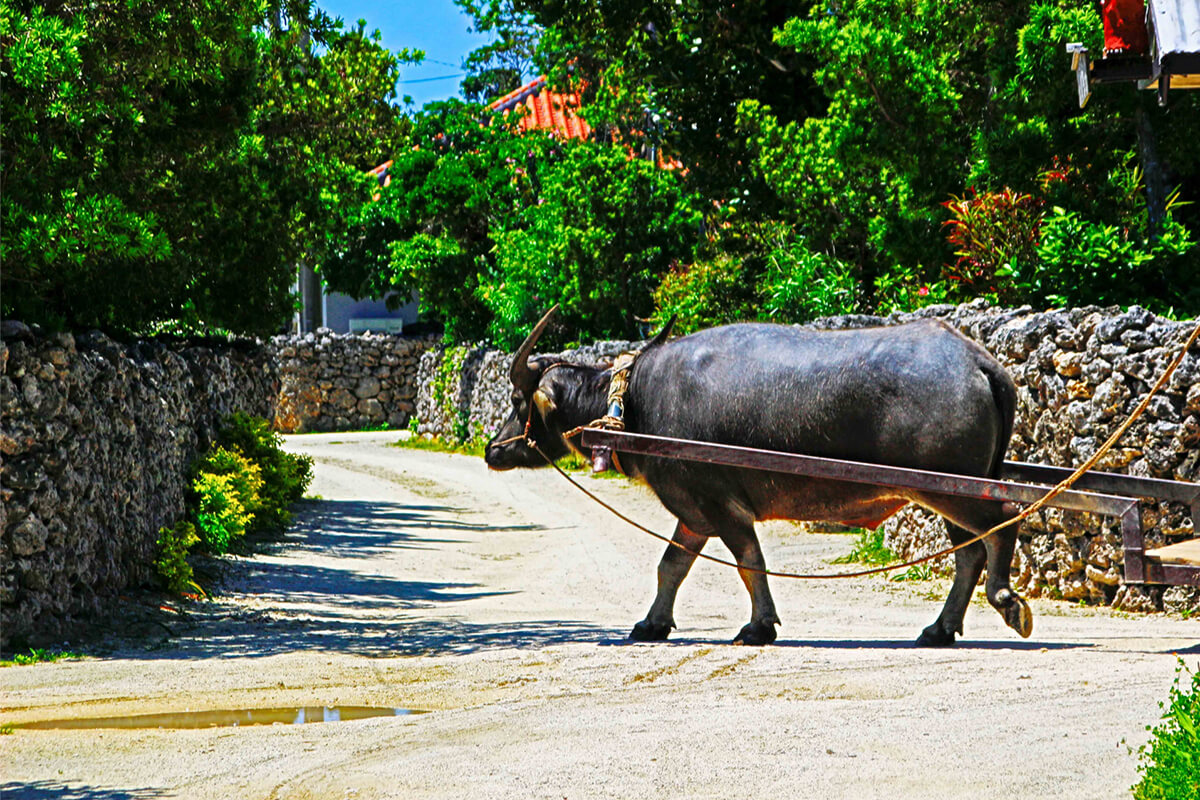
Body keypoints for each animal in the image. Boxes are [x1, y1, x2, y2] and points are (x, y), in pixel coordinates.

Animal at [482, 309, 1027, 647]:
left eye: (517, 401)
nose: (492, 449)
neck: (635, 402)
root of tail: (979, 362)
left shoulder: (721, 506)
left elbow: (749, 564)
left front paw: (759, 627)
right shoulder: (693, 512)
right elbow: (670, 567)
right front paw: (652, 623)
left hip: (949, 486)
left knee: (1003, 521)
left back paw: (1006, 601)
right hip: (954, 488)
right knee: (971, 550)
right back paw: (939, 629)